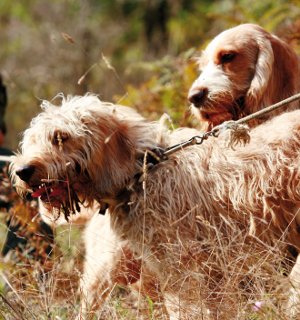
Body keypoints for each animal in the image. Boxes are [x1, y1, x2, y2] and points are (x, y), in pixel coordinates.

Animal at [11, 94, 300, 318]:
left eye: (61, 137)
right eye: (34, 140)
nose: (22, 171)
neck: (143, 173)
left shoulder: (190, 275)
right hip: (106, 272)